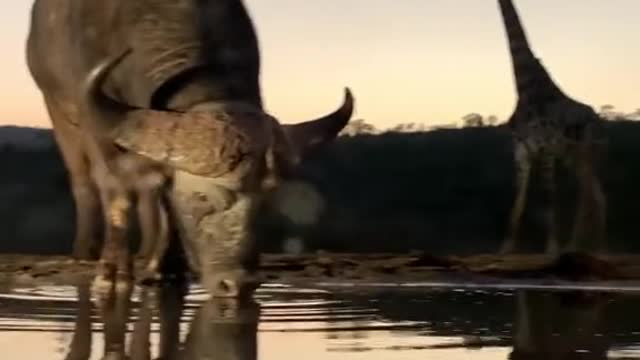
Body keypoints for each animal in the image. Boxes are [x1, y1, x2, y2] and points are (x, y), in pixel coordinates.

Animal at [498, 0, 608, 255]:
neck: (525, 88)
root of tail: (599, 122)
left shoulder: (545, 150)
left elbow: (549, 199)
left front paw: (552, 249)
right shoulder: (521, 153)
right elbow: (518, 203)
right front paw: (506, 249)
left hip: (585, 153)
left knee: (589, 195)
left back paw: (581, 247)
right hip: (572, 156)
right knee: (597, 195)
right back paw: (594, 247)